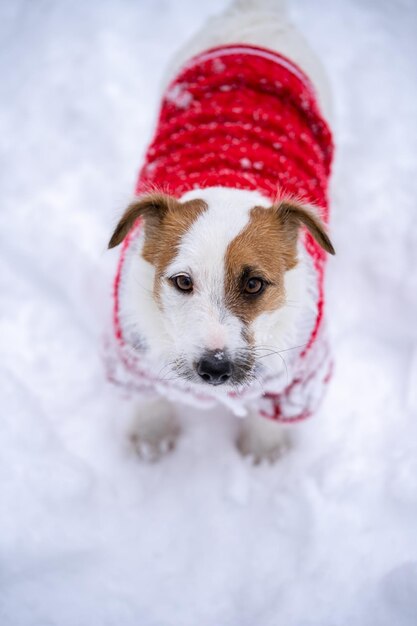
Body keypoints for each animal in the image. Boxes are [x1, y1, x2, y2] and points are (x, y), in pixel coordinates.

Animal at [105, 0, 334, 458]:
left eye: (254, 284)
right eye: (181, 281)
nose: (214, 368)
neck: (232, 184)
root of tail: (254, 15)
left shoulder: (300, 377)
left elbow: (271, 413)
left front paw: (264, 450)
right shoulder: (130, 356)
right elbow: (149, 396)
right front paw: (152, 435)